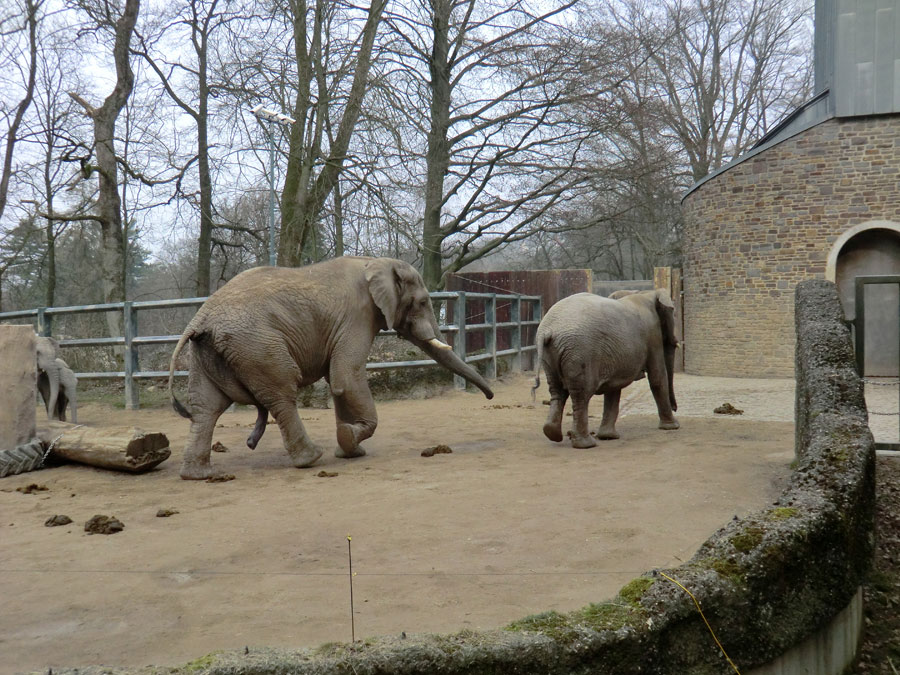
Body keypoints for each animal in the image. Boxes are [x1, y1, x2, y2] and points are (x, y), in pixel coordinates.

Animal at [536, 288, 676, 446]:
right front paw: (672, 427)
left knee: (557, 391)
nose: (675, 408)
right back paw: (586, 444)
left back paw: (553, 433)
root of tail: (547, 330)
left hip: (551, 354)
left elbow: (613, 387)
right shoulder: (653, 334)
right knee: (582, 394)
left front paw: (608, 436)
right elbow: (657, 378)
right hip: (579, 352)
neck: (645, 293)